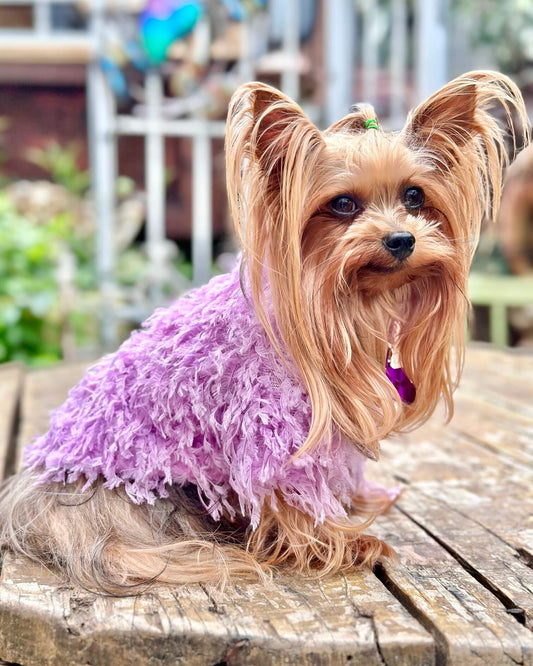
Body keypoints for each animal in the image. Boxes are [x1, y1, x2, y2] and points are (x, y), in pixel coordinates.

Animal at [0, 72, 524, 592]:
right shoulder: (269, 425)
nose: (401, 239)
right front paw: (345, 542)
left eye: (415, 195)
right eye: (342, 204)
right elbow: (289, 494)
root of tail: (32, 495)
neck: (344, 304)